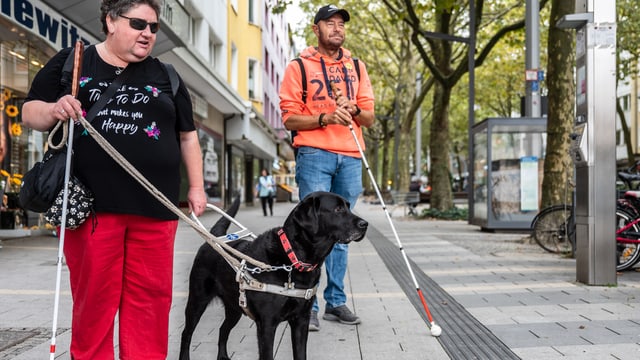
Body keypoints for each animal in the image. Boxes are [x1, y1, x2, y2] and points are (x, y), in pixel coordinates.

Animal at [180, 191, 370, 360]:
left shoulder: (301, 321)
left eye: (348, 206)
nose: (365, 224)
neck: (293, 258)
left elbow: (300, 354)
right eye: (337, 209)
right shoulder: (267, 324)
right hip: (197, 301)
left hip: (235, 307)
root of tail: (215, 237)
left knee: (222, 330)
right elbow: (267, 355)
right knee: (186, 333)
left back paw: (223, 356)